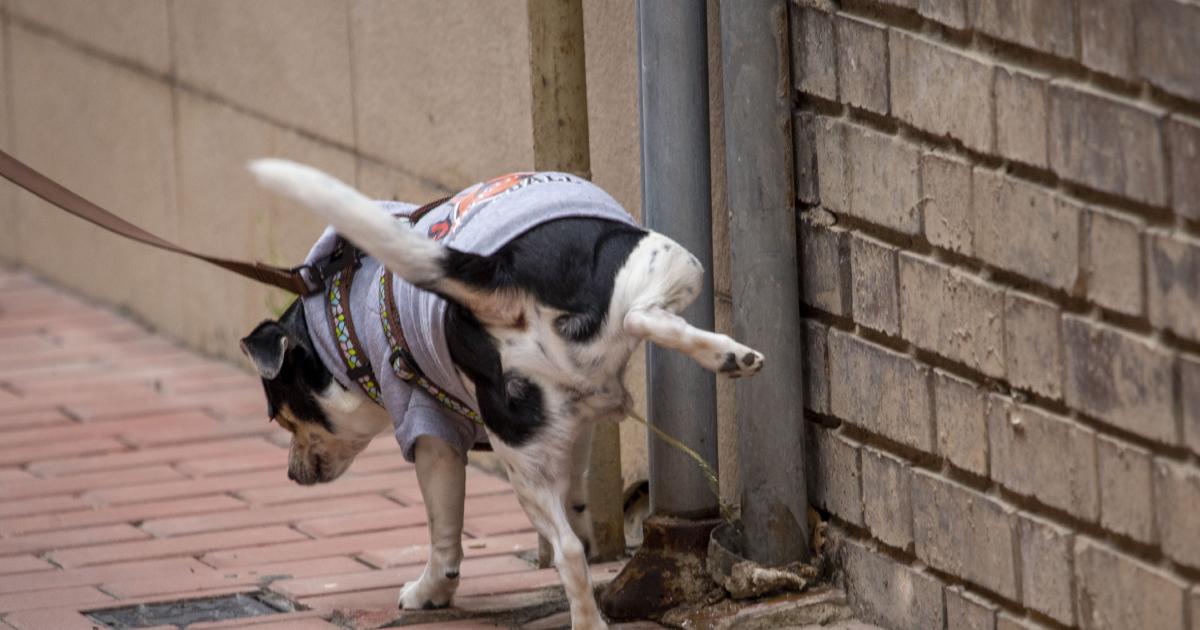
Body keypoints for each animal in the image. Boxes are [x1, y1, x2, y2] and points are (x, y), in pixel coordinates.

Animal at [238, 160, 763, 628]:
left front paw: (433, 591)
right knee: (640, 318)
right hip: (672, 263)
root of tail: (499, 278)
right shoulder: (460, 433)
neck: (342, 318)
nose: (291, 473)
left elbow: (448, 530)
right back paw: (731, 355)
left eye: (282, 418)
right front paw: (434, 590)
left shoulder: (440, 433)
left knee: (567, 546)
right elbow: (453, 532)